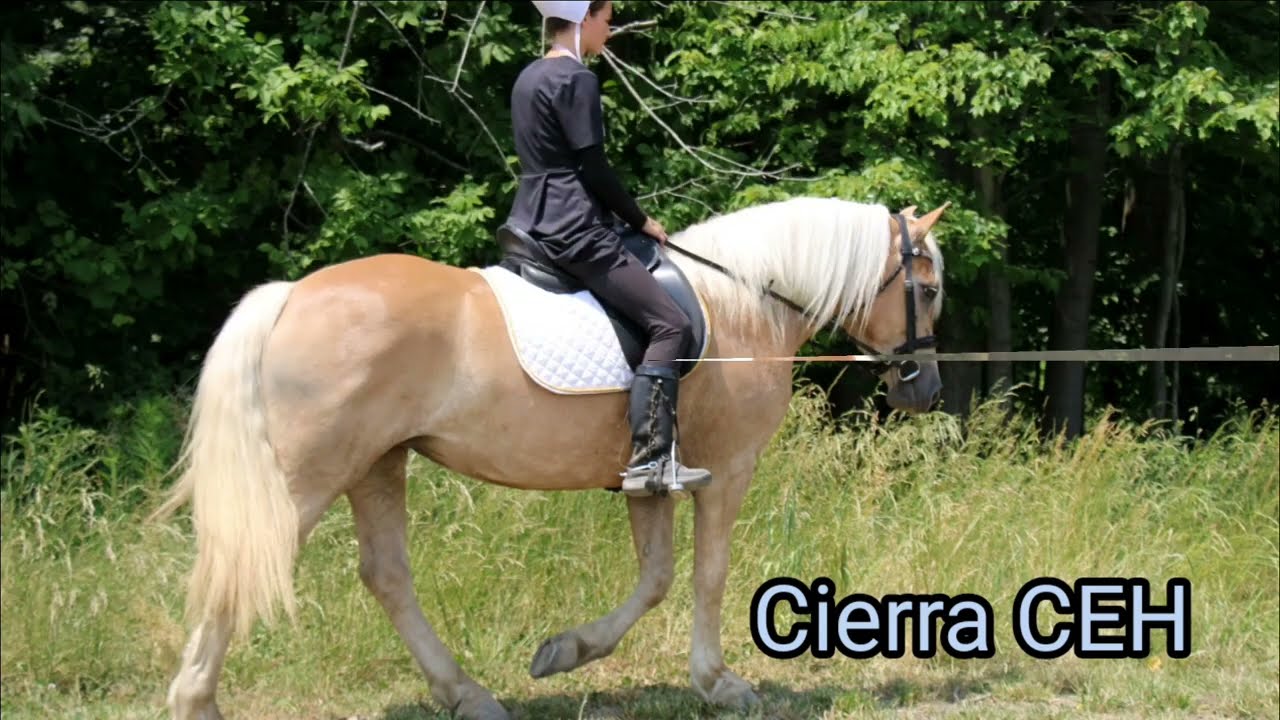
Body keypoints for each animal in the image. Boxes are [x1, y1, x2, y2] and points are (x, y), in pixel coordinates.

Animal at [151, 196, 949, 720]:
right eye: (930, 288)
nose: (925, 388)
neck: (743, 305)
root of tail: (290, 296)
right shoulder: (728, 471)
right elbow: (708, 575)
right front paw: (719, 683)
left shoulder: (648, 479)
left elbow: (656, 577)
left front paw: (565, 652)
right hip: (312, 475)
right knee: (242, 567)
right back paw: (196, 702)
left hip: (378, 464)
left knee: (386, 576)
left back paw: (467, 695)